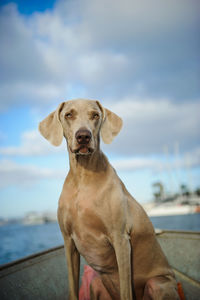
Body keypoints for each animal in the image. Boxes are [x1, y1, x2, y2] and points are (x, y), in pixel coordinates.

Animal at [38, 99, 178, 300]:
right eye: (68, 115)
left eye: (95, 115)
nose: (83, 136)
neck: (83, 177)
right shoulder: (68, 241)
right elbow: (72, 288)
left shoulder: (120, 239)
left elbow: (127, 290)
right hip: (96, 283)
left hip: (158, 285)